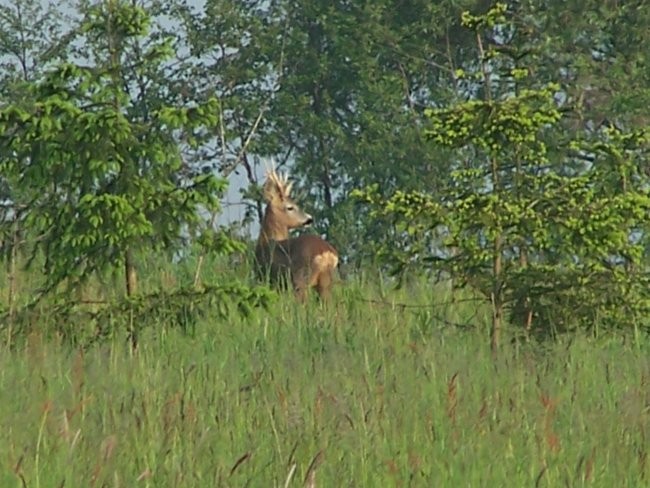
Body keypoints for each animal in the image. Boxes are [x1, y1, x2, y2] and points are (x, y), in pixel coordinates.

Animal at [253, 170, 336, 304]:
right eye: (290, 207)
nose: (309, 219)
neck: (265, 241)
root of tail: (326, 253)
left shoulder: (265, 277)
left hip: (301, 279)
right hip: (326, 282)